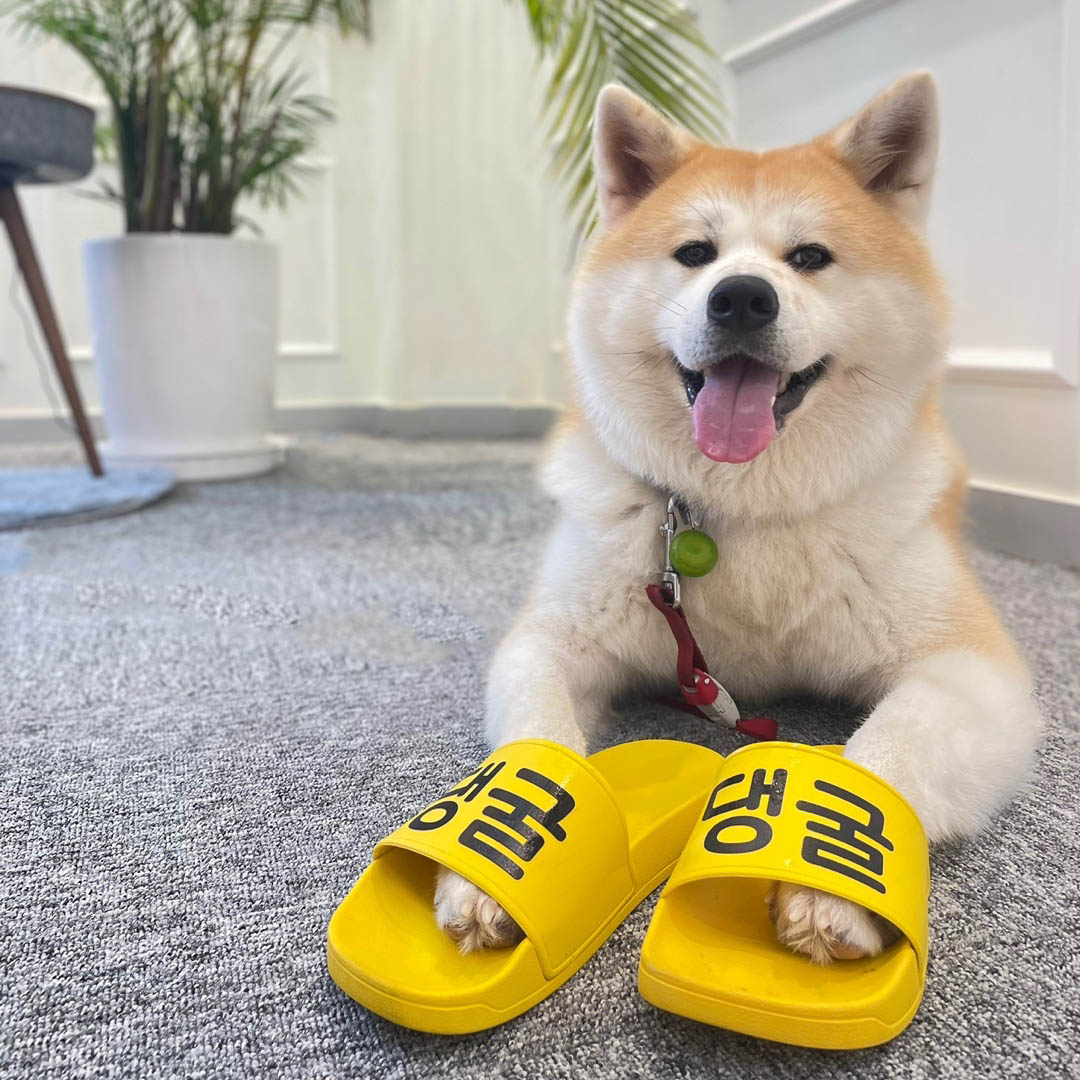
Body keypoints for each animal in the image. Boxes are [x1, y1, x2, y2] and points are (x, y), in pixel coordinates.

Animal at [434, 72, 1042, 963]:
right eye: (696, 254)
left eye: (810, 258)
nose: (743, 297)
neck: (747, 507)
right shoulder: (551, 640)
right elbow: (537, 740)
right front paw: (489, 862)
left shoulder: (968, 670)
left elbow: (889, 749)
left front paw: (834, 889)